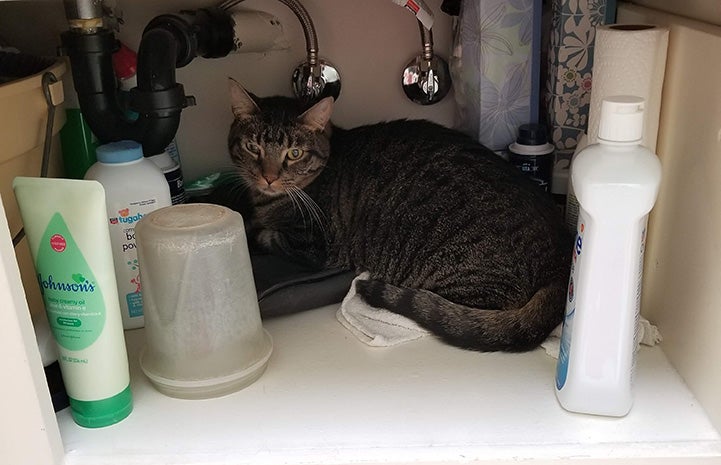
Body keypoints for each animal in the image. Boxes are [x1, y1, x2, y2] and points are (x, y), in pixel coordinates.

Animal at [228, 78, 572, 350]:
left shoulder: (312, 246)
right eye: (252, 147)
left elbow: (264, 234)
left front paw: (249, 226)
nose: (268, 177)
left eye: (294, 153)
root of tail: (561, 258)